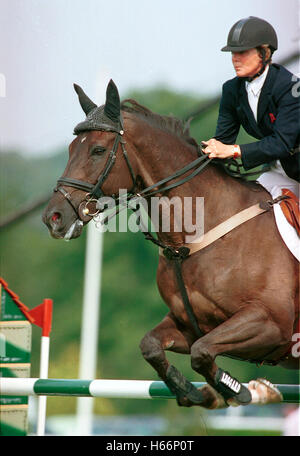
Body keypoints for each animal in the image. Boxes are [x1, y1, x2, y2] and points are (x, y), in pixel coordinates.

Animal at [42, 79, 300, 410]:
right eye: (71, 149)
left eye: (98, 150)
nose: (53, 218)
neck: (189, 242)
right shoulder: (188, 324)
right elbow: (153, 346)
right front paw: (195, 392)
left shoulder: (272, 324)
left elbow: (202, 353)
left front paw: (245, 391)